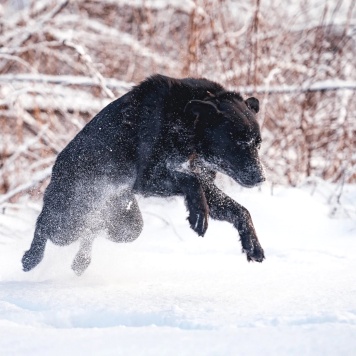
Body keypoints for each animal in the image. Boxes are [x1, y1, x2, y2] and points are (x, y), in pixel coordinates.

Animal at [21, 74, 264, 276]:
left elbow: (240, 211)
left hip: (127, 225)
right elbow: (190, 180)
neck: (184, 121)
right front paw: (198, 216)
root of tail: (56, 169)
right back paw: (31, 257)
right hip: (67, 223)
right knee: (44, 224)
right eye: (238, 142)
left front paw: (253, 246)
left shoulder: (203, 184)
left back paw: (80, 261)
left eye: (258, 144)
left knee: (93, 229)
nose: (261, 177)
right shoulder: (149, 178)